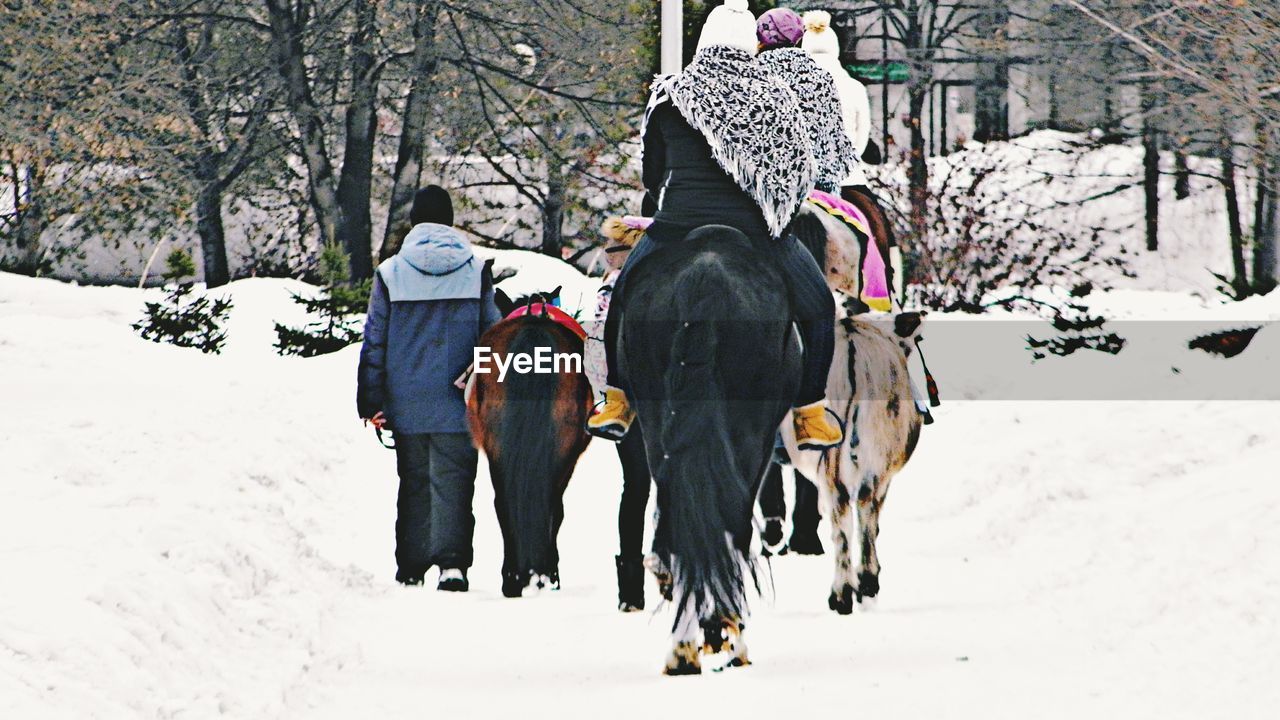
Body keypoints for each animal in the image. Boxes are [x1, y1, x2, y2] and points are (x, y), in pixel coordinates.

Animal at [619, 225, 798, 671]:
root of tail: (704, 279)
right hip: (750, 431)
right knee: (732, 524)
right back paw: (726, 636)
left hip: (656, 425)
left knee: (678, 519)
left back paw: (683, 646)